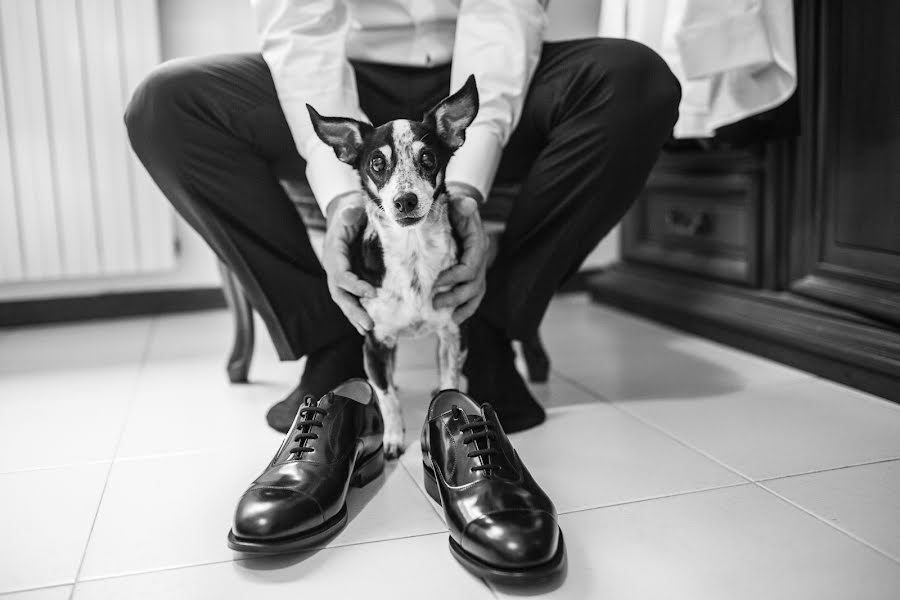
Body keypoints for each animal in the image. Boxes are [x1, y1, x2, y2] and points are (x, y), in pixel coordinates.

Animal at [308, 76, 478, 460]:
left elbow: (450, 384)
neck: (412, 253)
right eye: (376, 164)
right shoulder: (374, 342)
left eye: (428, 159)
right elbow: (385, 397)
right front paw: (393, 438)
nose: (405, 201)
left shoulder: (453, 332)